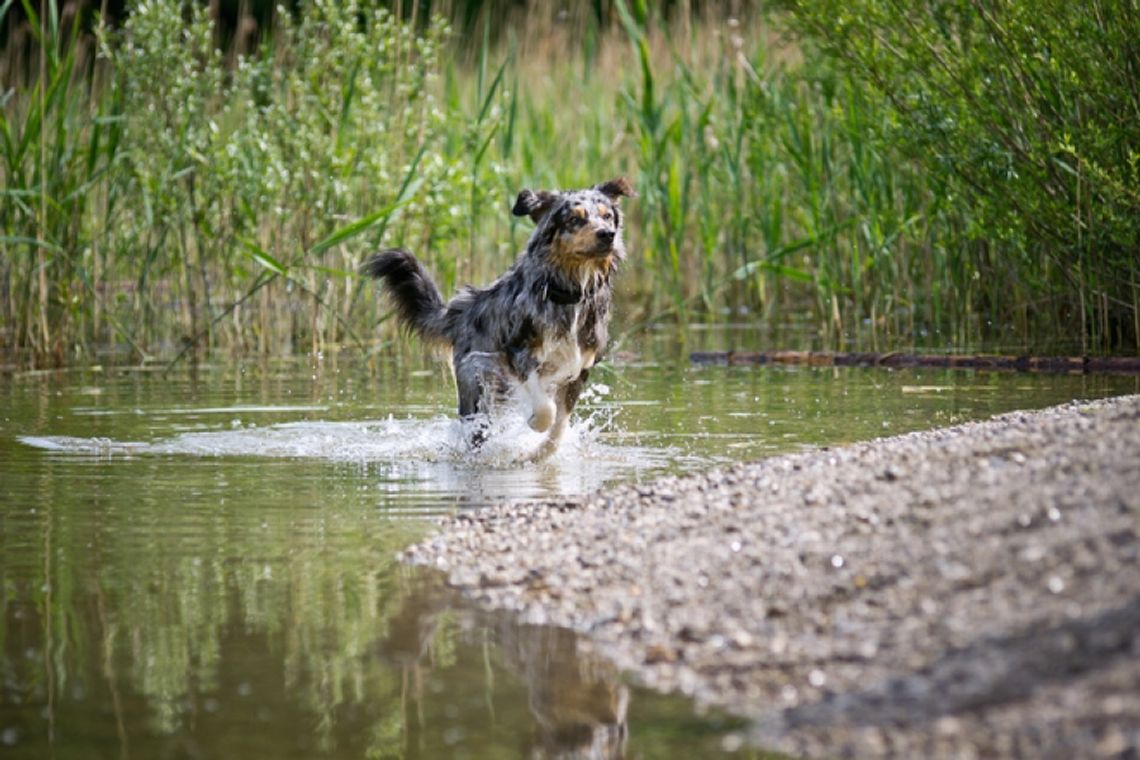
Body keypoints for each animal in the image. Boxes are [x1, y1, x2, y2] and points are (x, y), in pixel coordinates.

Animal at [362, 178, 638, 458]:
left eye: (607, 216)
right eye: (575, 219)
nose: (607, 234)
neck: (569, 294)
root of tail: (466, 308)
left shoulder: (580, 368)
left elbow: (559, 426)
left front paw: (540, 454)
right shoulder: (516, 354)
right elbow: (545, 409)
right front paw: (533, 424)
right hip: (476, 390)